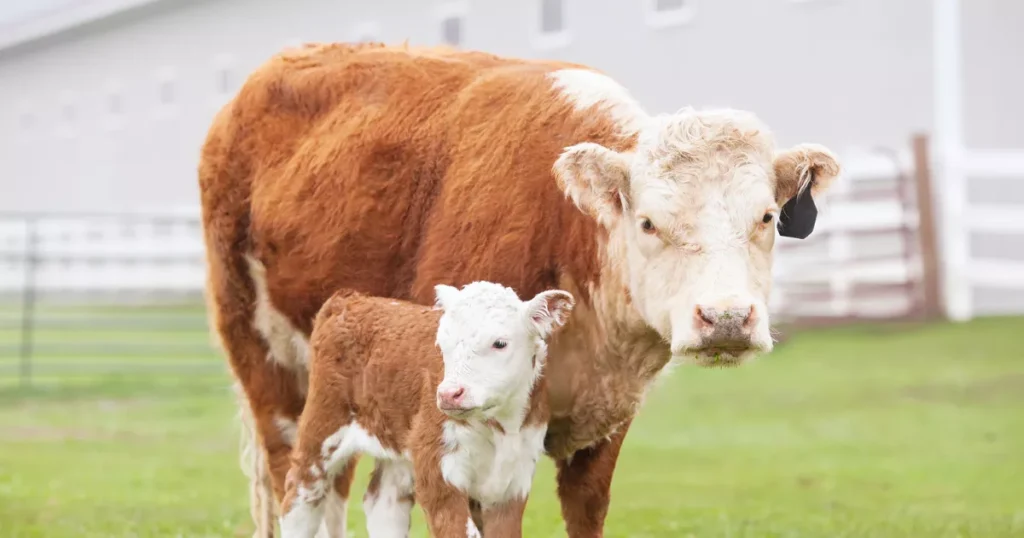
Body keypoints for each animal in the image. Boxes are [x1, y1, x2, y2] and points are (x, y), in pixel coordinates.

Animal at [280, 280, 577, 536]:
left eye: (500, 343)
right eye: (442, 343)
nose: (449, 394)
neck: (500, 426)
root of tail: (351, 299)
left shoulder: (514, 479)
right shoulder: (437, 468)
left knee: (383, 504)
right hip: (322, 425)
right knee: (299, 500)